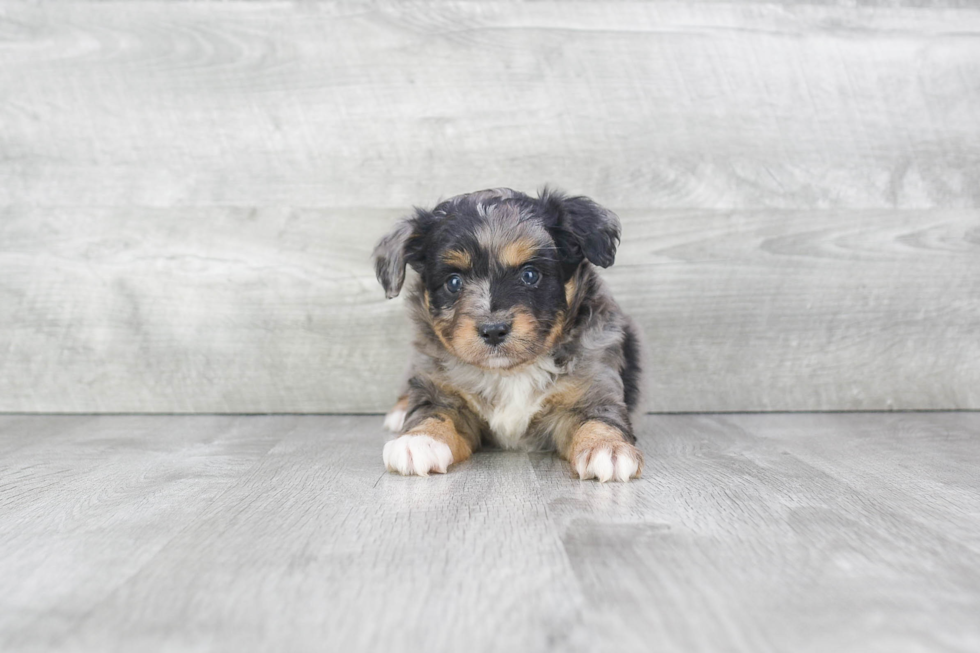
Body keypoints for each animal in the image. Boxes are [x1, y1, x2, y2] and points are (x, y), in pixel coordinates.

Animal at [374, 186, 644, 482]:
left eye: (530, 275)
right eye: (453, 282)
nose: (493, 330)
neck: (509, 373)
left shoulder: (592, 387)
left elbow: (598, 417)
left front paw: (607, 447)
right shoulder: (442, 391)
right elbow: (432, 412)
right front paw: (420, 440)